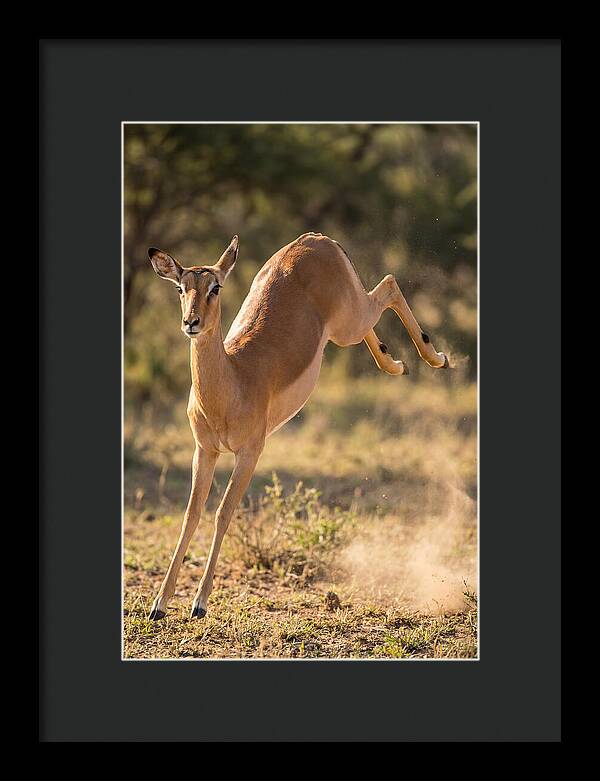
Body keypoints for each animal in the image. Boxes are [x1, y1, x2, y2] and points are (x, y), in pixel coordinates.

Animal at [147, 232, 448, 620]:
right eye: (180, 288)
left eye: (215, 287)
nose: (191, 323)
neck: (233, 381)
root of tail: (316, 239)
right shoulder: (205, 451)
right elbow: (190, 515)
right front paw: (159, 604)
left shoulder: (250, 453)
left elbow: (223, 512)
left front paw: (199, 603)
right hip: (346, 325)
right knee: (379, 307)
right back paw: (395, 364)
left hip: (349, 322)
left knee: (390, 284)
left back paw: (436, 358)